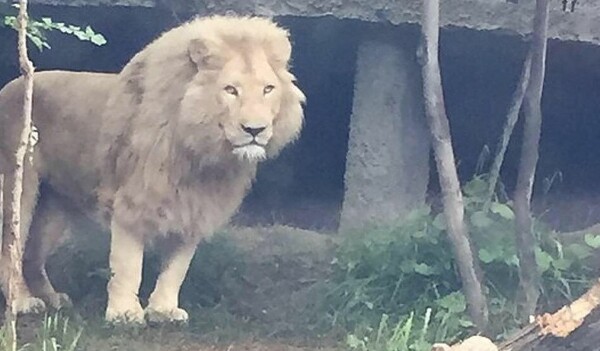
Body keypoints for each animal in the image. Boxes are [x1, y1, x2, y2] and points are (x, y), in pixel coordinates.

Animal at [0, 15, 304, 324]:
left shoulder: (195, 207)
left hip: (55, 203)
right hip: (18, 184)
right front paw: (124, 313)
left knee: (32, 255)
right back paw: (23, 302)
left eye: (268, 89)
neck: (203, 156)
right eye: (231, 90)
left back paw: (52, 298)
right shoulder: (133, 201)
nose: (255, 130)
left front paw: (163, 310)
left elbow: (177, 267)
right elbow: (128, 264)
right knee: (9, 248)